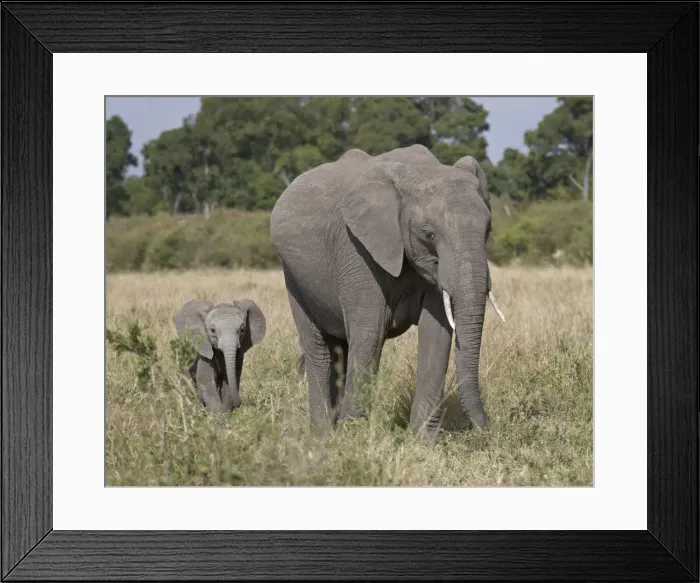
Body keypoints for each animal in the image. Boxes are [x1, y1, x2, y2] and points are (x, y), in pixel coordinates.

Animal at [270, 144, 505, 438]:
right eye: (428, 234)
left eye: (488, 229)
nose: (486, 428)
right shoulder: (357, 249)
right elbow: (370, 331)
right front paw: (355, 438)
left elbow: (437, 333)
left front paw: (422, 441)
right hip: (294, 276)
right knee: (320, 349)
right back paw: (322, 437)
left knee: (340, 349)